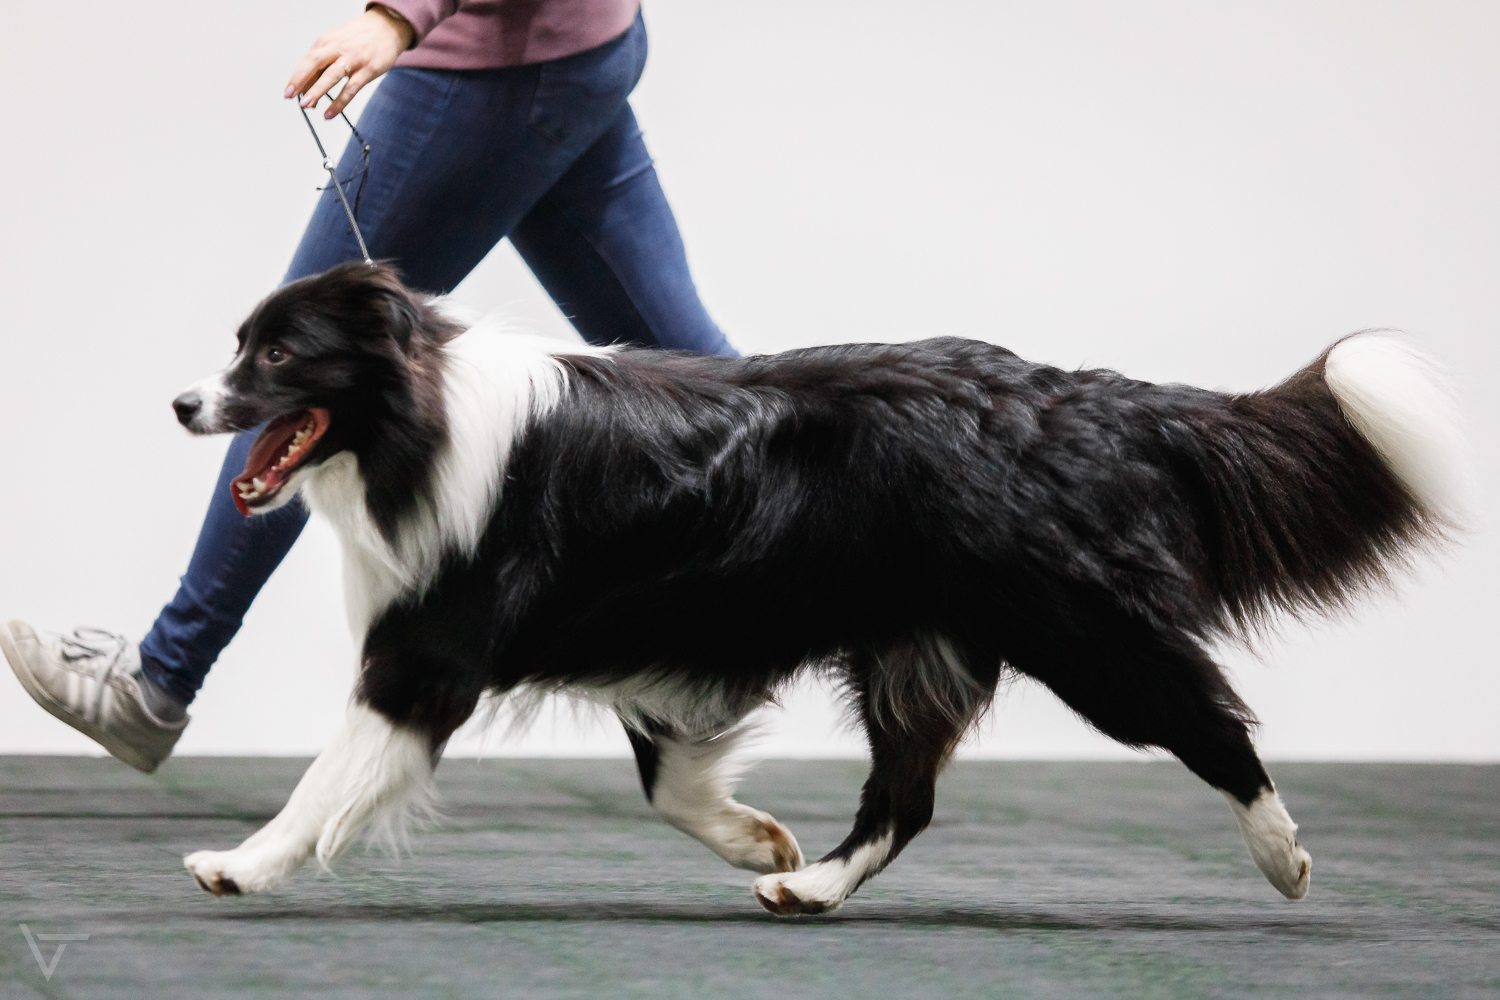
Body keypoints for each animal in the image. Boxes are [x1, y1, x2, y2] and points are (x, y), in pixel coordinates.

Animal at [172, 262, 1466, 914]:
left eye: (278, 354)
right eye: (236, 343)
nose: (182, 402)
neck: (416, 419)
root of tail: (1084, 394)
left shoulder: (429, 650)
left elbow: (330, 775)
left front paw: (245, 862)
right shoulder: (661, 625)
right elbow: (672, 778)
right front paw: (758, 838)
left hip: (1083, 632)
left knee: (1211, 718)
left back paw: (1285, 856)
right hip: (915, 648)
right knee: (907, 795)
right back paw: (813, 885)